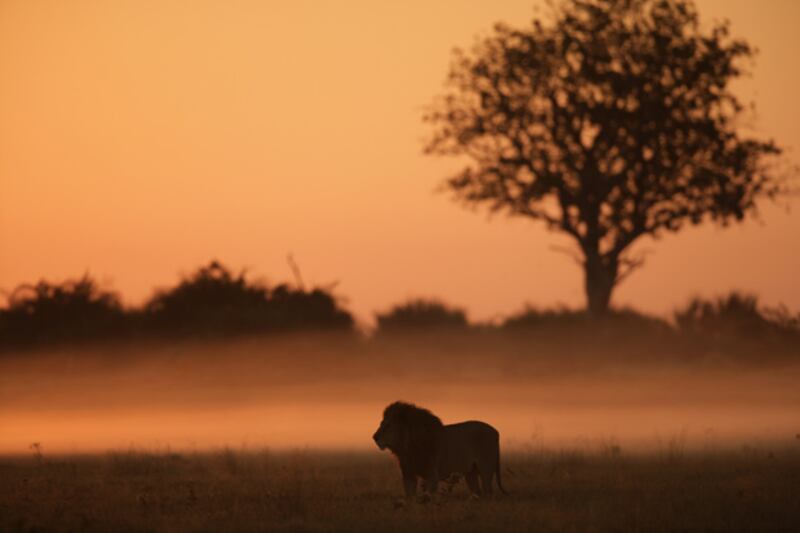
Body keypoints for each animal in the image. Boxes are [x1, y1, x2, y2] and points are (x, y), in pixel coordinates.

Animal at [370, 402, 506, 496]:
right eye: (381, 424)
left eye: (388, 425)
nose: (374, 437)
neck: (406, 448)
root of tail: (496, 431)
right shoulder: (408, 475)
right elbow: (410, 498)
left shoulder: (432, 475)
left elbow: (429, 497)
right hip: (471, 472)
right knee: (477, 492)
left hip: (486, 469)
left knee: (488, 492)